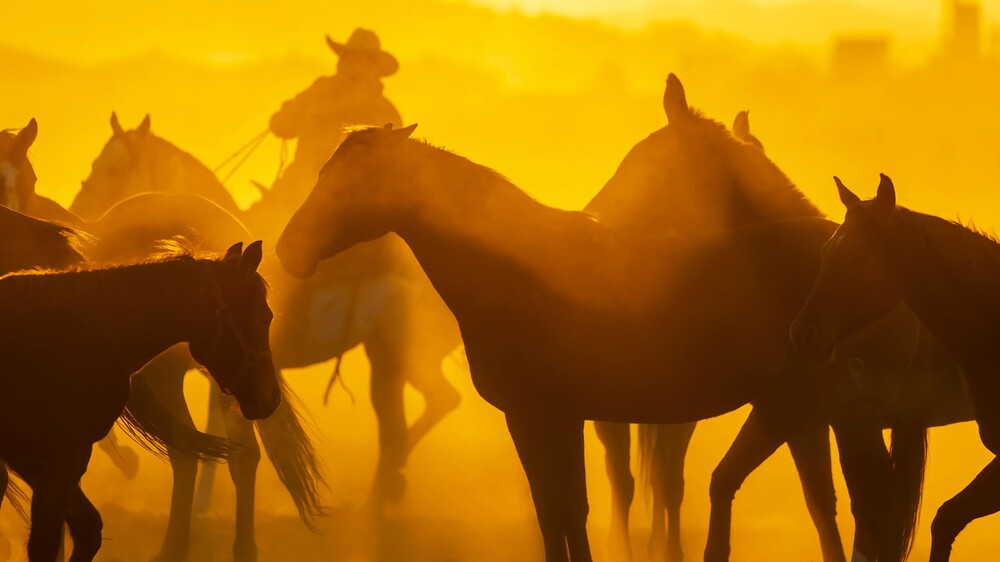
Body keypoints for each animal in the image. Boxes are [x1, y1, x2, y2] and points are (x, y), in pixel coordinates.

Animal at [0, 241, 280, 561]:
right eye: (265, 317)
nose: (272, 398)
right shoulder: (56, 454)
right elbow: (51, 542)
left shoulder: (46, 459)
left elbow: (87, 530)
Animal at [275, 124, 958, 562]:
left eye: (346, 182)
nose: (286, 249)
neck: (511, 268)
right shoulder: (547, 418)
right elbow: (560, 510)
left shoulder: (547, 415)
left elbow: (566, 509)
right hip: (818, 416)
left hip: (823, 413)